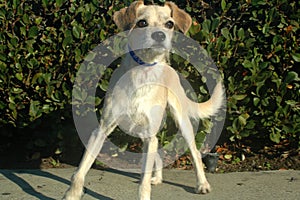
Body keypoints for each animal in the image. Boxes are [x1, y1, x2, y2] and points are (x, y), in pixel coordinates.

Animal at [62, 0, 223, 199]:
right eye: (142, 23)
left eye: (169, 24)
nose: (159, 35)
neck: (142, 71)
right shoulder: (101, 131)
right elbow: (80, 171)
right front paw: (72, 194)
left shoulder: (149, 135)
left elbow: (143, 182)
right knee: (158, 150)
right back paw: (158, 178)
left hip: (182, 123)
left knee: (195, 154)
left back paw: (202, 184)